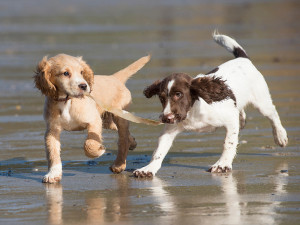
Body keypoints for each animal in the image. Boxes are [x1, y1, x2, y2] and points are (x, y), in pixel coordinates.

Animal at [34, 53, 150, 183]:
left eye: (81, 72)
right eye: (65, 73)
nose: (84, 86)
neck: (67, 101)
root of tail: (114, 78)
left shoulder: (94, 121)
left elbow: (89, 143)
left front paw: (99, 150)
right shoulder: (52, 130)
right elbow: (52, 152)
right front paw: (53, 173)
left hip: (119, 117)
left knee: (123, 139)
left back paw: (119, 164)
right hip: (107, 121)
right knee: (124, 133)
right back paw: (132, 143)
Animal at [134, 32, 288, 178]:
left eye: (178, 94)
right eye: (161, 97)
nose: (166, 118)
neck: (193, 112)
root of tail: (243, 59)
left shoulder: (230, 119)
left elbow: (228, 144)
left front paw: (222, 164)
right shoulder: (170, 129)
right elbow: (158, 152)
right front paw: (148, 169)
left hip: (261, 101)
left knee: (273, 114)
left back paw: (280, 136)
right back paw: (243, 120)